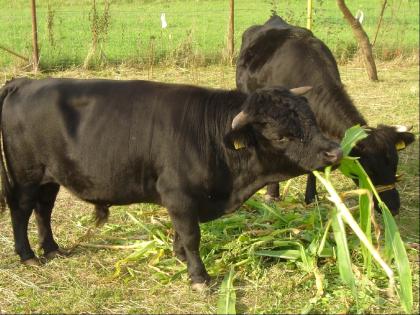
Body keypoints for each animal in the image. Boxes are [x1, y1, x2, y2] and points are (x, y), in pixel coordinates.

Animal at [0, 78, 342, 288]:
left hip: (50, 177)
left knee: (43, 210)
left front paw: (179, 257)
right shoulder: (179, 196)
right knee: (21, 210)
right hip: (27, 175)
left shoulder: (182, 202)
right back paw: (28, 255)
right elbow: (192, 236)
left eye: (311, 118)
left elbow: (181, 234)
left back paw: (52, 249)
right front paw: (199, 276)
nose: (334, 150)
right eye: (280, 136)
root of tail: (26, 82)